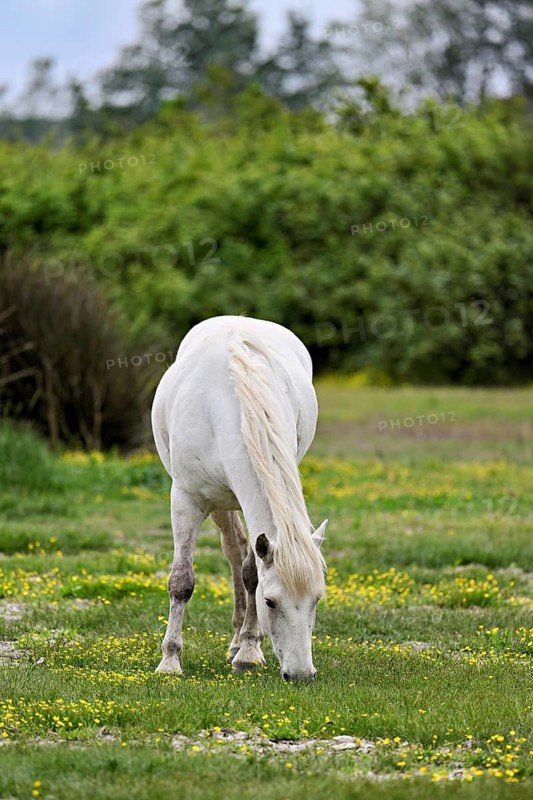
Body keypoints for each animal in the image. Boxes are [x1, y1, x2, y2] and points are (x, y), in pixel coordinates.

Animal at [151, 315, 328, 681]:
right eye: (271, 601)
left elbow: (251, 574)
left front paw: (248, 651)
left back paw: (239, 642)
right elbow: (181, 580)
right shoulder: (186, 499)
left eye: (317, 599)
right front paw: (170, 661)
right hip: (219, 503)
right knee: (232, 549)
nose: (301, 674)